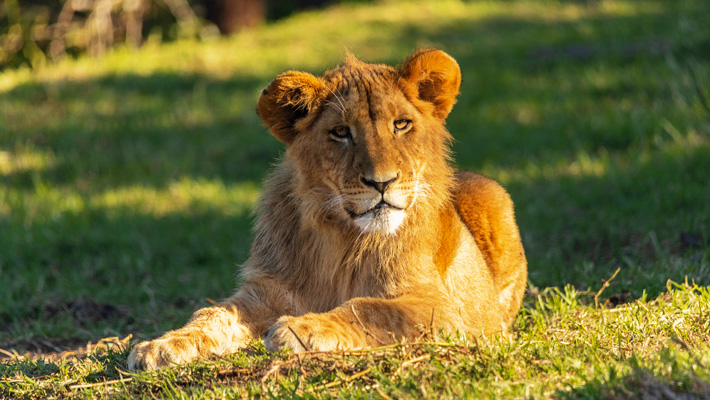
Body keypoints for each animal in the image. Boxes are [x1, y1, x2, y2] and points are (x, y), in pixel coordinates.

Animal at [128, 49, 527, 371]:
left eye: (401, 124)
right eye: (340, 132)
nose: (381, 182)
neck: (343, 238)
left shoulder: (445, 310)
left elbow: (370, 307)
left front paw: (301, 328)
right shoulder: (264, 292)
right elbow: (211, 314)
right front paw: (161, 345)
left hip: (492, 195)